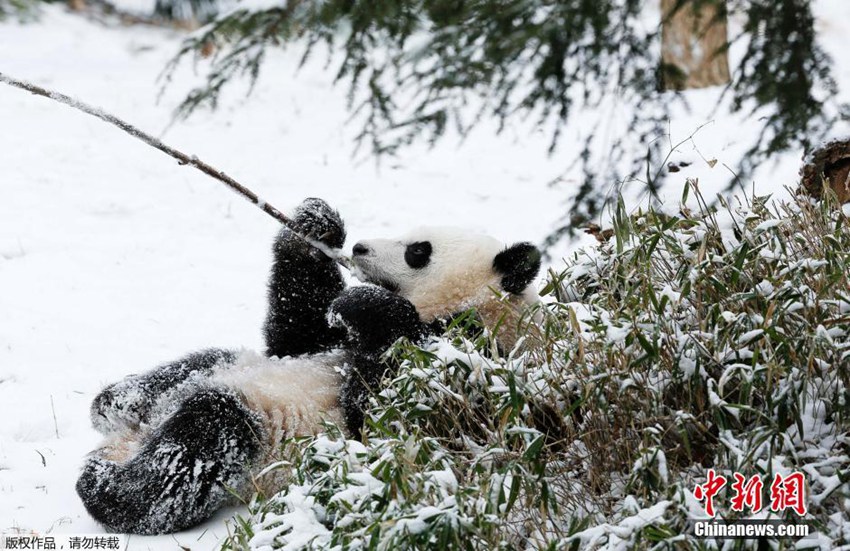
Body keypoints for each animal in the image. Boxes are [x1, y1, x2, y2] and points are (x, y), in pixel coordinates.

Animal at [76, 197, 540, 536]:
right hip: (225, 369)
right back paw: (116, 402)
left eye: (417, 252)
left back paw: (106, 487)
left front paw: (362, 302)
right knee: (197, 366)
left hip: (261, 441)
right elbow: (298, 330)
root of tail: (128, 441)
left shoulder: (476, 357)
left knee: (201, 442)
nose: (359, 248)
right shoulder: (320, 343)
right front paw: (315, 225)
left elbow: (388, 406)